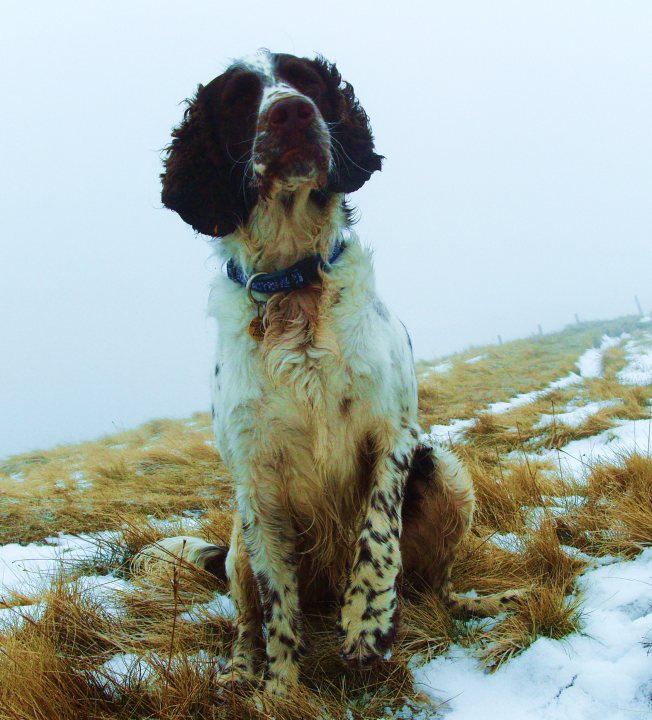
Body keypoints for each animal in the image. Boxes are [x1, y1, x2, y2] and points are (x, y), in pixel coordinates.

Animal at [150, 49, 524, 692]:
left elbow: (377, 539)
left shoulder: (394, 433)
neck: (296, 288)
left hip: (445, 471)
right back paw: (239, 672)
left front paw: (367, 625)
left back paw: (478, 603)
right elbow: (277, 608)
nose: (292, 113)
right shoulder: (256, 477)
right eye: (238, 97)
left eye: (306, 82)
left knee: (435, 588)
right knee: (246, 616)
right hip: (238, 537)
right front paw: (281, 692)